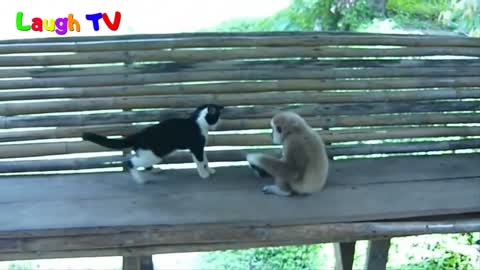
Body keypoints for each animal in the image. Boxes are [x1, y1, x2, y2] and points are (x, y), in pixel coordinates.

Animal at [82, 103, 225, 184]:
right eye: (217, 117)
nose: (219, 124)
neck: (198, 122)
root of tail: (138, 135)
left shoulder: (201, 148)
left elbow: (205, 160)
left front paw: (209, 170)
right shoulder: (196, 147)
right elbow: (200, 162)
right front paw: (204, 174)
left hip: (150, 155)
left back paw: (155, 170)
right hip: (153, 155)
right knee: (130, 162)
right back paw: (140, 180)